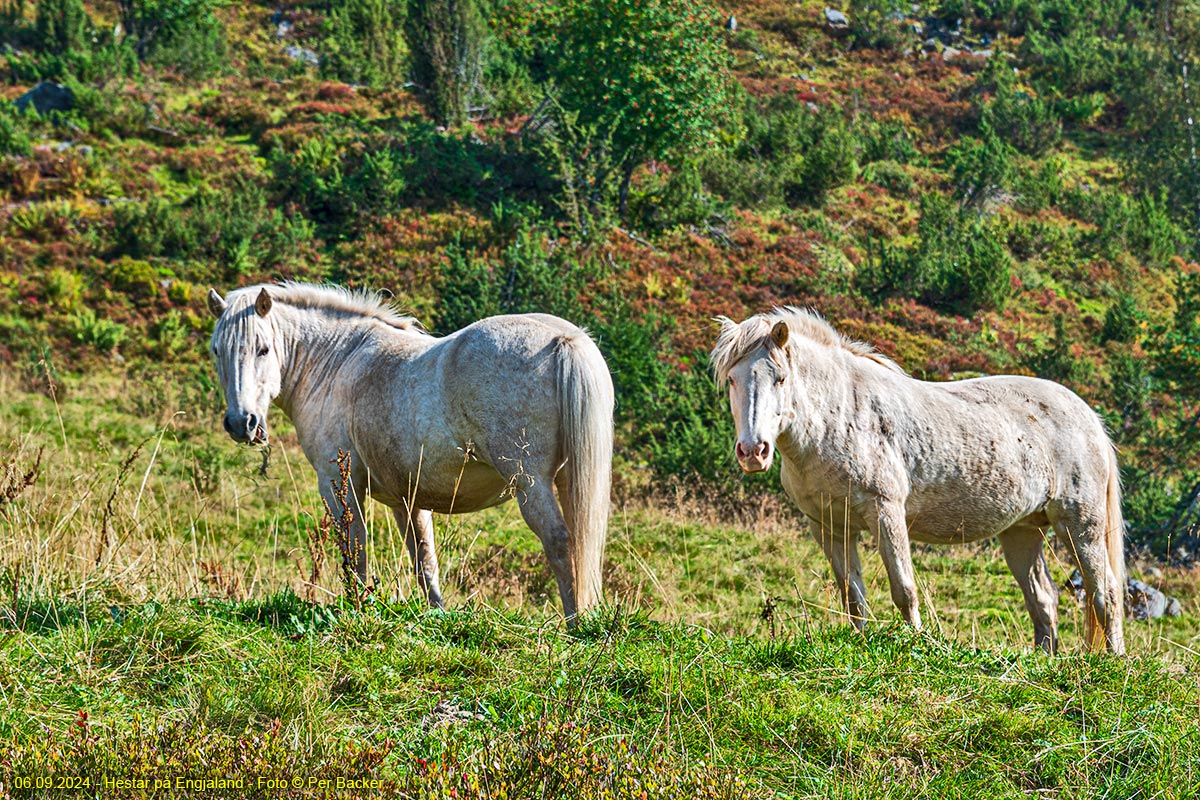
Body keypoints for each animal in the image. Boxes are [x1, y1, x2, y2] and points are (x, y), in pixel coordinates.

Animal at [206, 281, 614, 618]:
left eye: (263, 349)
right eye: (217, 351)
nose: (242, 423)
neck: (337, 362)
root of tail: (562, 339)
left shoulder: (341, 486)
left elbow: (355, 552)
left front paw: (358, 609)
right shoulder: (408, 499)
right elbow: (424, 561)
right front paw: (437, 618)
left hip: (530, 483)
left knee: (559, 542)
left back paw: (573, 623)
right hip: (568, 480)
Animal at [710, 309, 1123, 652]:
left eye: (780, 379)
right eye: (731, 379)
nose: (753, 451)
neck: (839, 417)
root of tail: (1089, 418)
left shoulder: (885, 512)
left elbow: (904, 589)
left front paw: (916, 643)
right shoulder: (830, 527)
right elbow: (853, 597)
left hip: (1079, 526)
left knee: (1106, 593)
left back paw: (1114, 661)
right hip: (1022, 532)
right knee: (1044, 600)